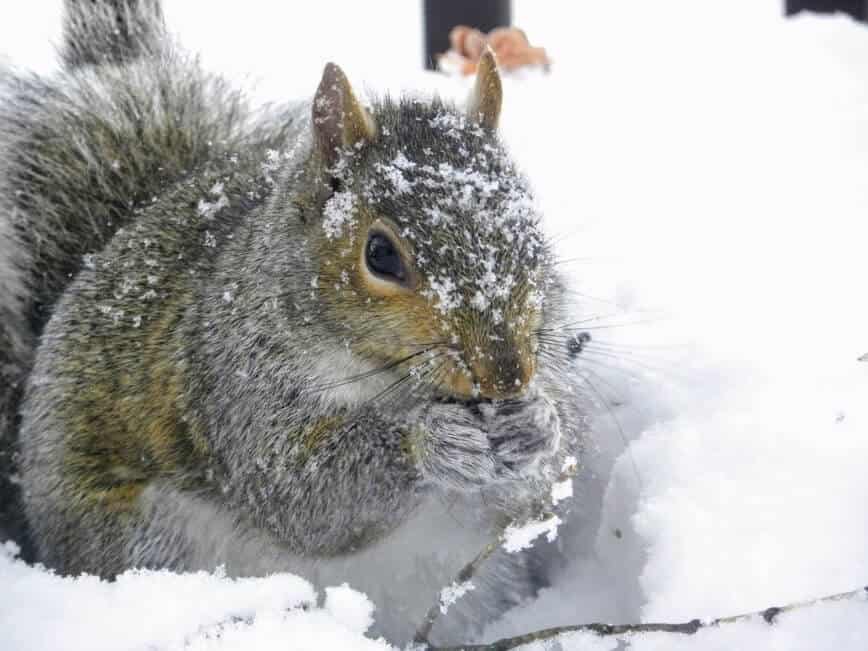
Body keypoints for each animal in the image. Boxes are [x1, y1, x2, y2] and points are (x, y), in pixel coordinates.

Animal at [1, 0, 584, 640]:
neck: (395, 383)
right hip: (150, 545)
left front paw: (539, 423)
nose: (506, 375)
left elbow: (529, 498)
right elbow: (300, 489)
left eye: (531, 230)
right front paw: (433, 440)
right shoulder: (232, 383)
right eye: (380, 255)